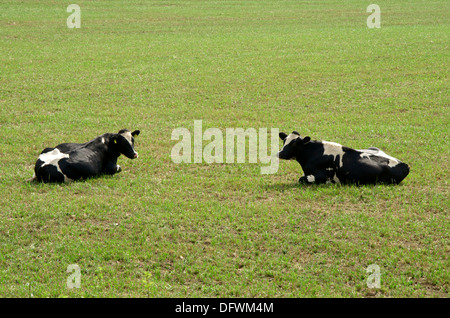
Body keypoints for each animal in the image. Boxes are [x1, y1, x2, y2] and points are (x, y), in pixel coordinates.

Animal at [276, 131, 410, 185]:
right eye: (284, 140)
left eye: (294, 143)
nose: (279, 153)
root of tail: (404, 164)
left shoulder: (323, 175)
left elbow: (302, 179)